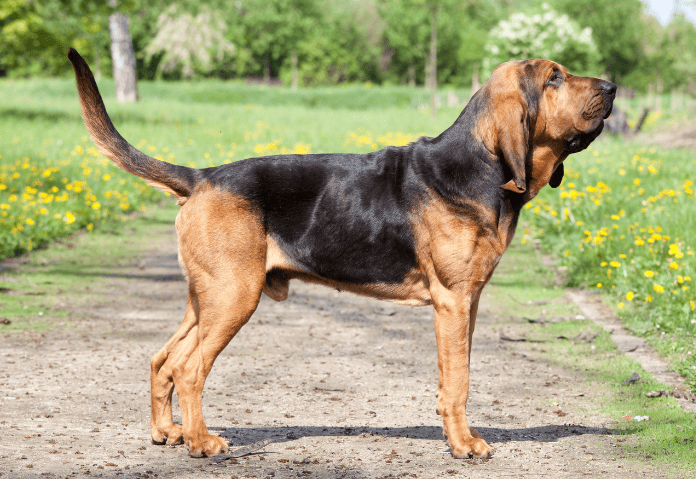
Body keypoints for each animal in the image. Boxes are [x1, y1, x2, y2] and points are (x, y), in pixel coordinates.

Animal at [69, 49, 616, 462]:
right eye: (554, 77)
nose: (612, 87)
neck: (479, 166)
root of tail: (201, 176)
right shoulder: (453, 302)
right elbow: (457, 383)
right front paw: (464, 445)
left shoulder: (469, 303)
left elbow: (453, 378)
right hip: (233, 297)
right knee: (189, 369)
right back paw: (202, 442)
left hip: (206, 298)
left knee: (163, 359)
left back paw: (168, 433)